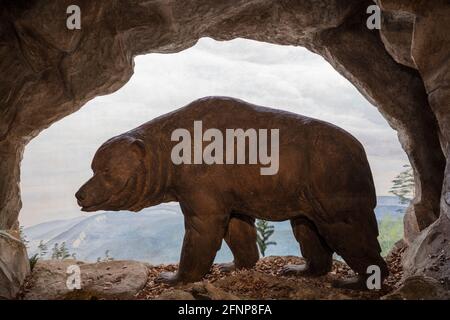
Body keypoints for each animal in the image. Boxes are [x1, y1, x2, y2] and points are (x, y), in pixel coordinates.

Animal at [75, 96, 388, 288]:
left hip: (330, 179)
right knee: (306, 229)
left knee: (348, 230)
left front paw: (173, 276)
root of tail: (359, 148)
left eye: (103, 170)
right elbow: (238, 229)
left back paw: (359, 280)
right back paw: (300, 269)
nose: (79, 194)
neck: (170, 155)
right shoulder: (231, 188)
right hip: (303, 192)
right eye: (93, 167)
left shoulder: (201, 182)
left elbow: (202, 230)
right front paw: (234, 265)